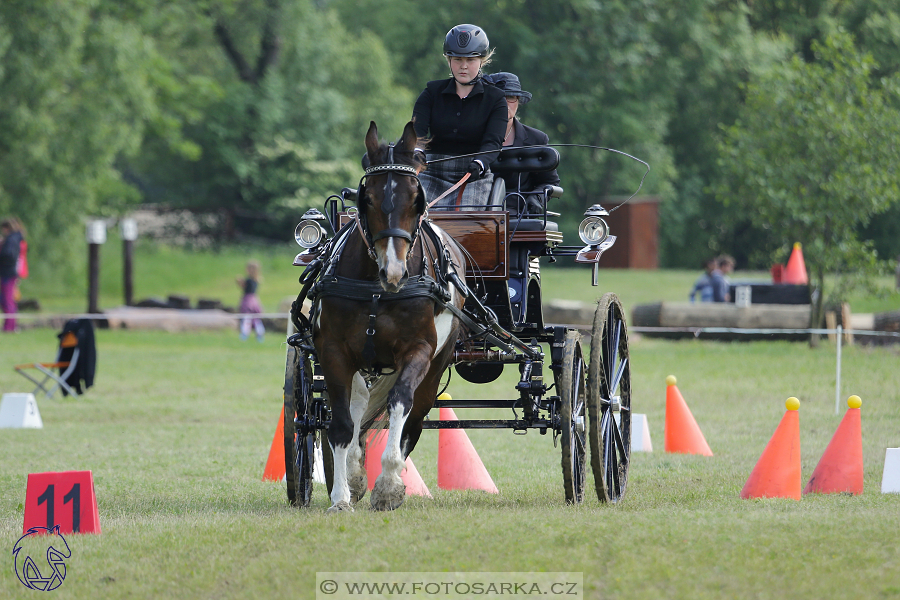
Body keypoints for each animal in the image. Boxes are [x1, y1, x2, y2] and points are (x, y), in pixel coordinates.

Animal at [312, 120, 468, 510]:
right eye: (365, 198)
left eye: (417, 200)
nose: (394, 271)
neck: (376, 290)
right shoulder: (333, 351)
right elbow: (342, 424)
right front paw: (342, 494)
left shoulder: (419, 350)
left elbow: (400, 403)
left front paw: (387, 485)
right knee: (359, 407)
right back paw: (354, 473)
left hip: (436, 366)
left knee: (414, 417)